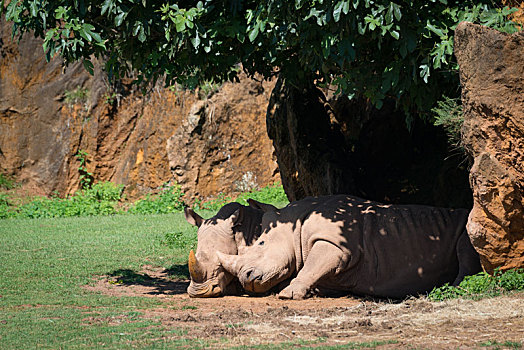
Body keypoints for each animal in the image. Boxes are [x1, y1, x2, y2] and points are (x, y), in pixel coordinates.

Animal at [215, 196, 482, 300]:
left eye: (260, 244)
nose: (245, 278)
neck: (294, 224)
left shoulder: (336, 245)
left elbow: (311, 265)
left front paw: (288, 294)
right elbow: (314, 270)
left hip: (467, 227)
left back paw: (453, 290)